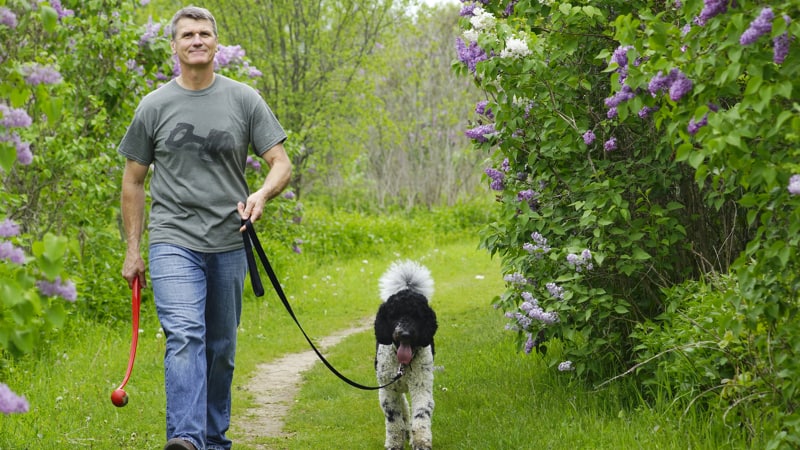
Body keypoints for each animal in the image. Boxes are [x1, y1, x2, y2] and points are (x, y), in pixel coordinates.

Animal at [376, 260, 438, 450]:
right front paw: (395, 443)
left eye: (417, 316)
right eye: (393, 315)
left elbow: (421, 415)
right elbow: (394, 420)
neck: (403, 364)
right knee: (402, 407)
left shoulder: (421, 386)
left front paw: (420, 442)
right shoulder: (387, 392)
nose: (405, 334)